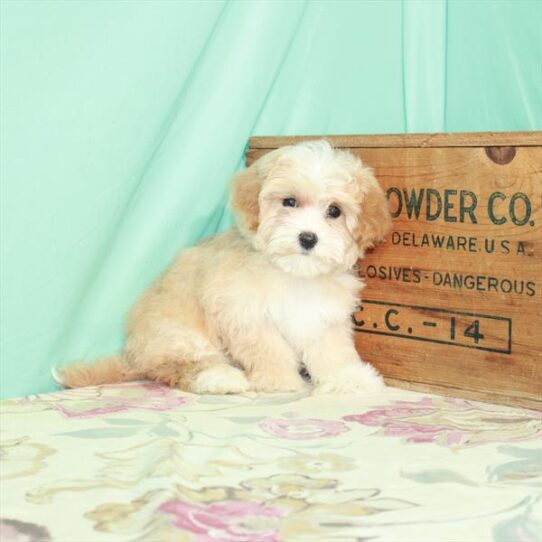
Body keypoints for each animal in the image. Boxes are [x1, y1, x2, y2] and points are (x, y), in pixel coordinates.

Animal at [58, 140, 392, 396]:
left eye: (334, 211)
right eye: (289, 201)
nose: (308, 238)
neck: (292, 272)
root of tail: (132, 355)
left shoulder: (323, 316)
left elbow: (332, 350)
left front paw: (349, 378)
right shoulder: (245, 314)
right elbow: (270, 350)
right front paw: (280, 380)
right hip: (177, 336)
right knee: (181, 367)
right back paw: (220, 378)